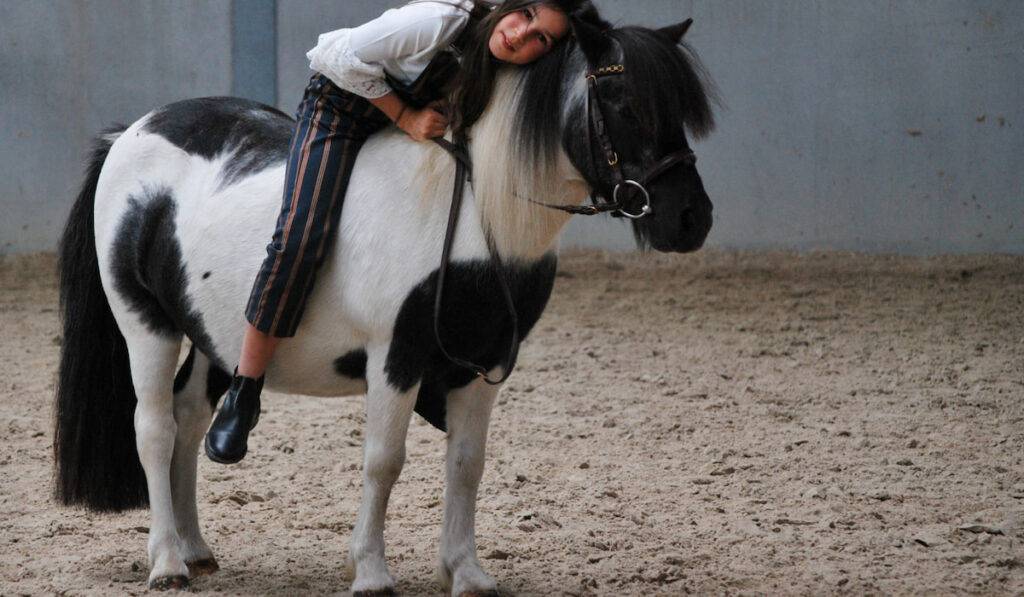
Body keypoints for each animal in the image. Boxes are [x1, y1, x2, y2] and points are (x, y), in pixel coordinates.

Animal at [51, 14, 716, 597]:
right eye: (623, 98)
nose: (692, 219)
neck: (472, 214)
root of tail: (129, 134)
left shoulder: (483, 366)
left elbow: (466, 463)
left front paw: (465, 572)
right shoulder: (397, 358)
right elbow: (383, 462)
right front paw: (371, 572)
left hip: (213, 336)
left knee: (190, 420)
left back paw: (195, 549)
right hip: (148, 326)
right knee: (155, 429)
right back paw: (167, 562)